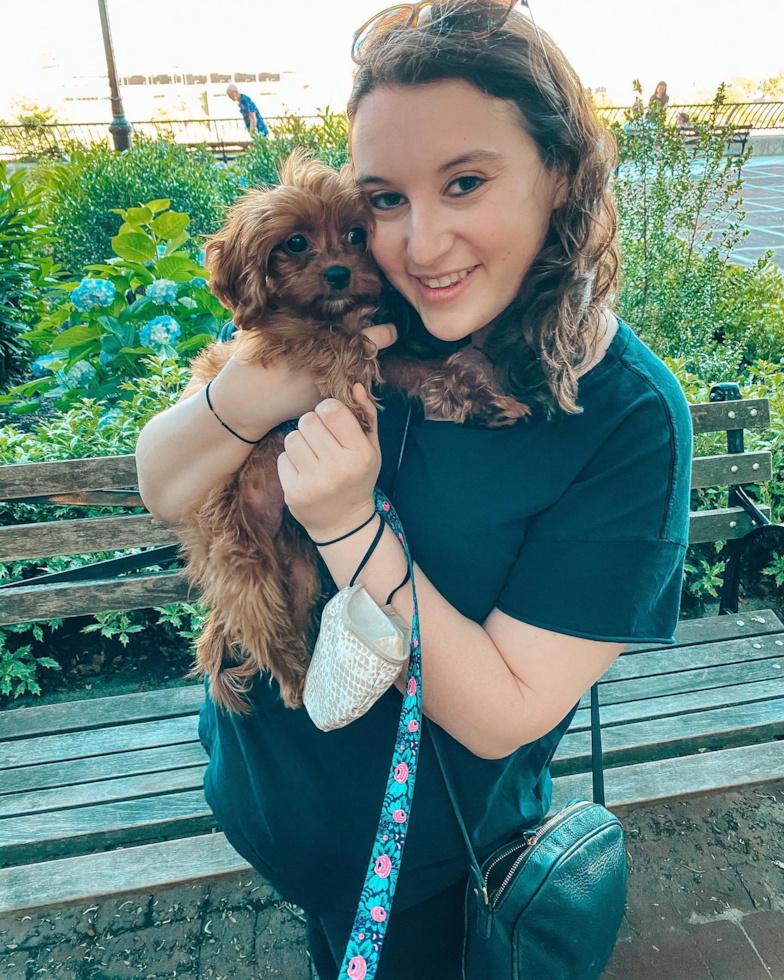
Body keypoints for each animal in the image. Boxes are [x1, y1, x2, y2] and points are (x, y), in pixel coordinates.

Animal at [180, 153, 528, 712]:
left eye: (356, 235)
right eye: (295, 243)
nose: (339, 273)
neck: (338, 311)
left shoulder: (391, 352)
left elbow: (426, 368)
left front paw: (486, 402)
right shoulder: (275, 338)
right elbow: (328, 339)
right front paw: (350, 389)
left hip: (299, 570)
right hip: (243, 565)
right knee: (264, 631)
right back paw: (295, 684)